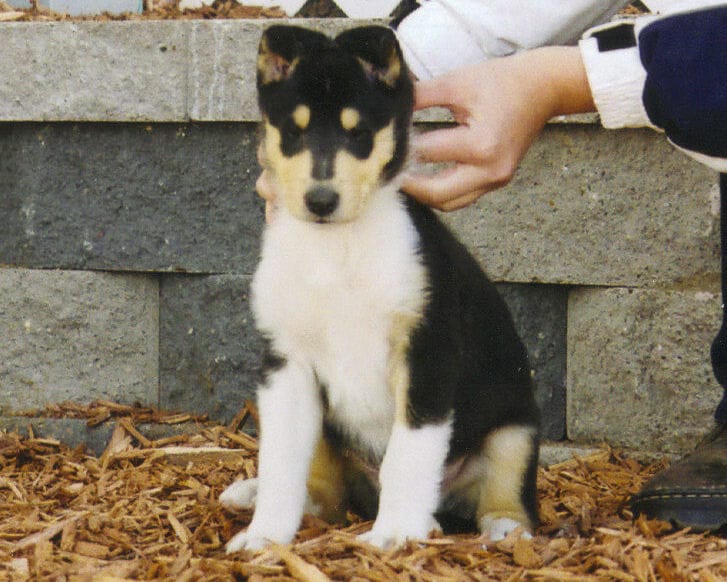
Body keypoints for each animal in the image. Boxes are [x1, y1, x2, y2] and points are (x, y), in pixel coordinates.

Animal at [222, 24, 540, 556]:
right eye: (294, 131)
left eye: (359, 134)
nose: (320, 201)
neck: (337, 247)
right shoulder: (286, 364)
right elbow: (280, 462)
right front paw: (264, 536)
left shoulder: (426, 355)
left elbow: (408, 455)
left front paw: (396, 532)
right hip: (327, 431)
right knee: (325, 496)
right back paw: (256, 495)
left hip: (513, 430)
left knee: (506, 494)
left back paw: (497, 530)